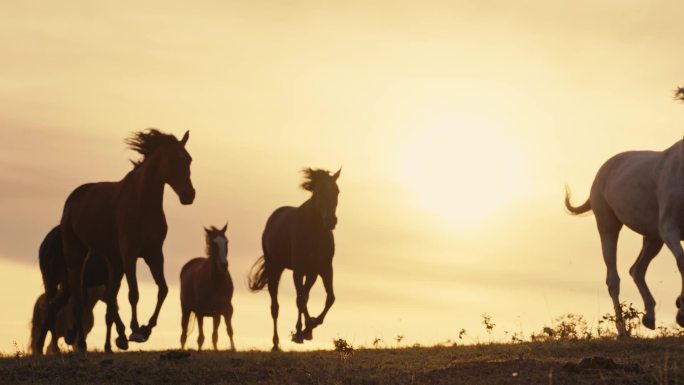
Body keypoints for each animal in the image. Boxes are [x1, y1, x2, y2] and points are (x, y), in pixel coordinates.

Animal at [35, 128, 195, 352]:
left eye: (188, 159)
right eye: (172, 159)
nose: (189, 195)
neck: (142, 202)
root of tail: (74, 198)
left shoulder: (154, 254)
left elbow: (162, 289)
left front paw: (146, 329)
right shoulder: (130, 254)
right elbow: (134, 293)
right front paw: (136, 331)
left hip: (112, 261)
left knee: (102, 299)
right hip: (75, 260)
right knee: (75, 299)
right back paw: (78, 343)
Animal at [179, 222, 235, 352]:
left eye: (226, 242)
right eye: (213, 243)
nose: (224, 265)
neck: (215, 283)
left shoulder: (223, 311)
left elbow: (224, 332)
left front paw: (231, 349)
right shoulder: (200, 312)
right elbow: (201, 337)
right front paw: (200, 351)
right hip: (185, 309)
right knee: (184, 332)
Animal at [248, 168, 340, 352]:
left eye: (337, 191)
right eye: (320, 192)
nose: (331, 221)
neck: (315, 231)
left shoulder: (324, 268)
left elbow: (330, 298)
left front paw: (308, 328)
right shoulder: (298, 269)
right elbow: (300, 300)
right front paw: (303, 330)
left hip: (311, 273)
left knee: (304, 295)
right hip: (275, 267)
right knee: (276, 306)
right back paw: (276, 344)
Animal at [568, 139, 684, 336]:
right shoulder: (669, 229)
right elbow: (682, 262)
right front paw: (681, 314)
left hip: (653, 238)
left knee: (637, 270)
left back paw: (649, 317)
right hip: (608, 227)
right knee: (613, 279)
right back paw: (622, 329)